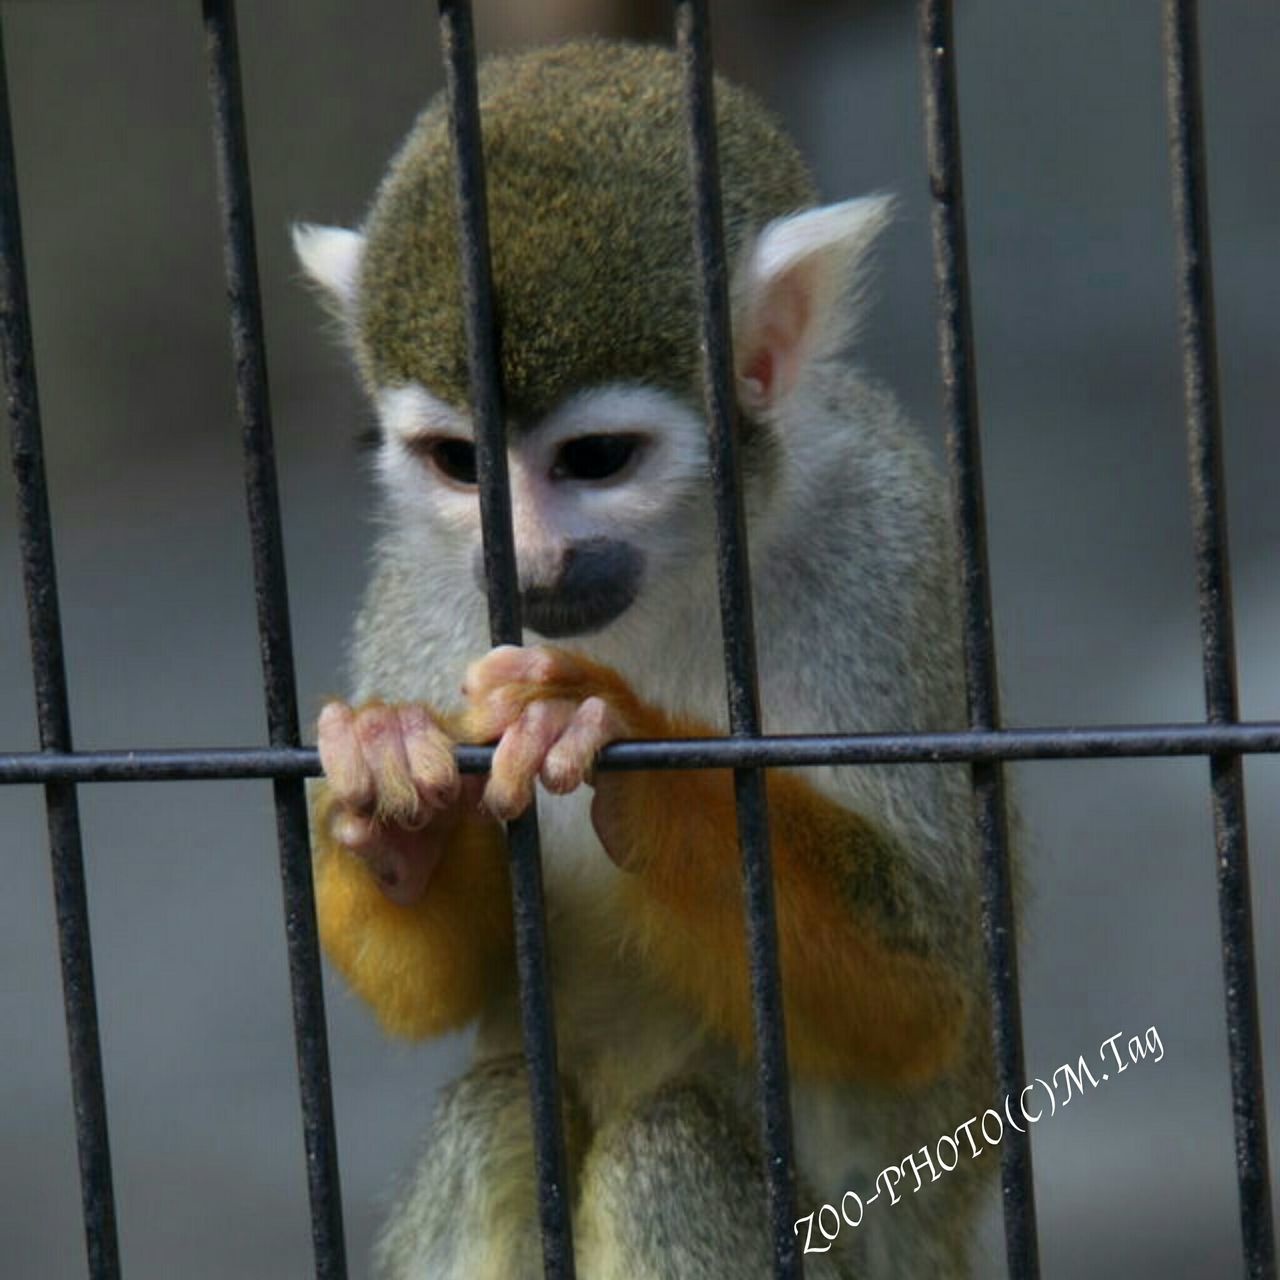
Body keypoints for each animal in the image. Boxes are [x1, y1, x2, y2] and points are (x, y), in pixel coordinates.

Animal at [296, 35, 998, 1274]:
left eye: (596, 459)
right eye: (457, 462)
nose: (529, 565)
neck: (675, 576)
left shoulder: (890, 538)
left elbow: (924, 998)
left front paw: (622, 745)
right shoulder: (419, 582)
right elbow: (444, 981)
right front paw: (389, 793)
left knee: (671, 1143)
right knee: (499, 1108)